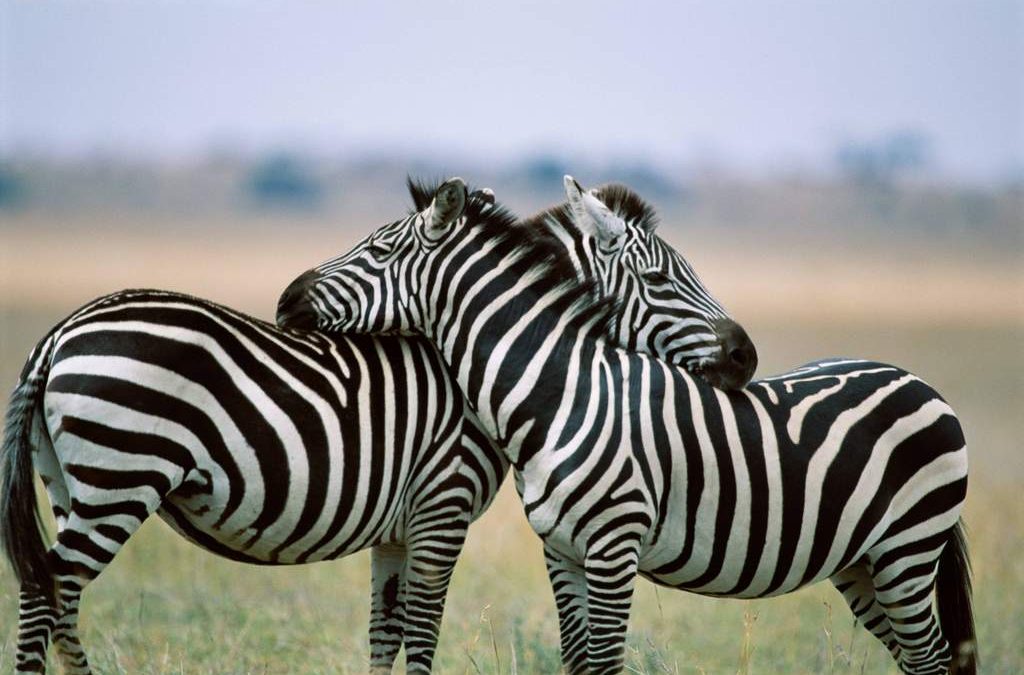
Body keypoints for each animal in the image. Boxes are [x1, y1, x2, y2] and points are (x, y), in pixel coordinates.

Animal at [1, 182, 751, 673]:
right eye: (662, 281)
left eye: (379, 248)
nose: (746, 355)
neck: (479, 359)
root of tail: (60, 331)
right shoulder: (442, 505)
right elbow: (422, 630)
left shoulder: (397, 527)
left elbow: (384, 632)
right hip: (119, 478)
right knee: (46, 592)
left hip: (72, 485)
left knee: (56, 596)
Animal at [277, 177, 977, 675]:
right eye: (661, 277)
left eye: (378, 249)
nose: (286, 300)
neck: (563, 394)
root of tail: (911, 377)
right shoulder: (562, 552)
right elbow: (578, 662)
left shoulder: (614, 548)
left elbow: (607, 664)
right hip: (864, 564)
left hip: (909, 551)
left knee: (933, 659)